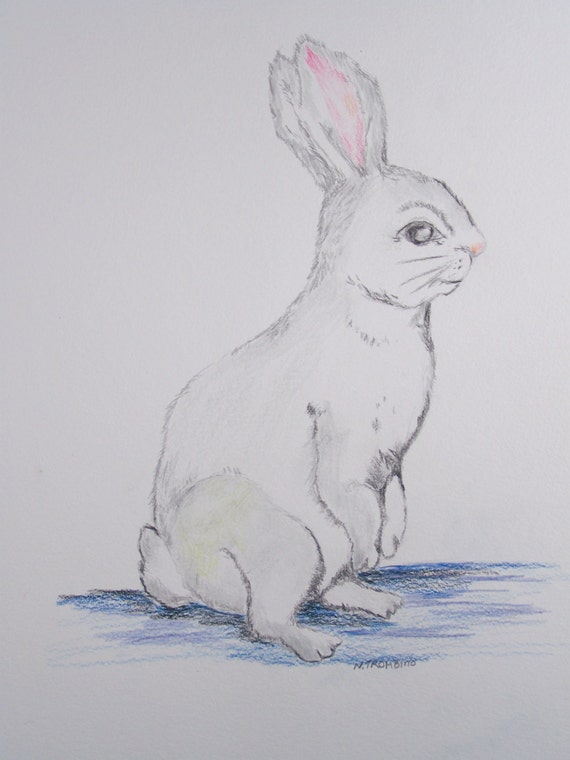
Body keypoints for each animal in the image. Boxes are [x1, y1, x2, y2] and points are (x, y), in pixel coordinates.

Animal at [139, 36, 485, 662]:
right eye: (420, 233)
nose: (479, 246)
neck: (374, 315)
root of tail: (188, 579)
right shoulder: (337, 443)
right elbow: (349, 501)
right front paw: (374, 548)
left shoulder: (390, 460)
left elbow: (394, 496)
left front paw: (390, 546)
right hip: (286, 542)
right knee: (268, 618)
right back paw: (317, 643)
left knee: (326, 588)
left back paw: (377, 599)